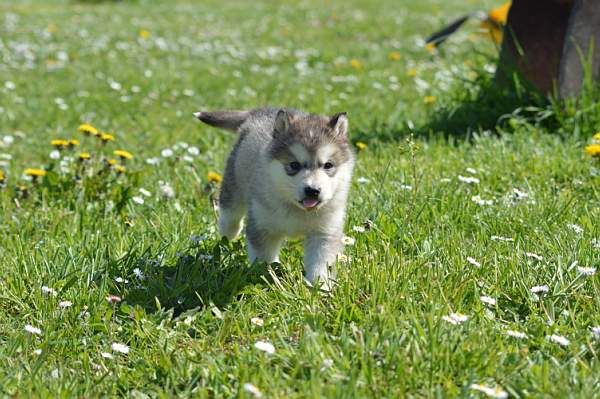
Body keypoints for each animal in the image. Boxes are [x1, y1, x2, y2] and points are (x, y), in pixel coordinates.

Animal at [193, 108, 352, 290]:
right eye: (294, 165)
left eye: (328, 165)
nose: (312, 191)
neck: (297, 209)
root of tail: (261, 110)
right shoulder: (262, 227)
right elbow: (264, 259)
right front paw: (268, 278)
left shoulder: (324, 233)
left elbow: (321, 262)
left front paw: (320, 286)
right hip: (234, 181)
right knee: (230, 213)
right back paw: (229, 232)